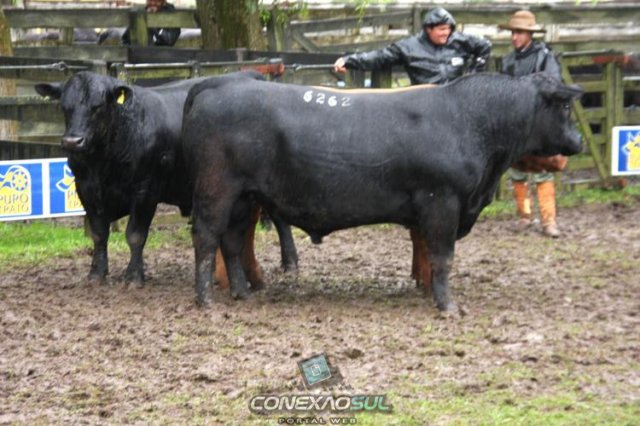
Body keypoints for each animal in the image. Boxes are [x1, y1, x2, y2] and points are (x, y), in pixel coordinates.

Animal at [35, 71, 298, 288]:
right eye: (65, 107)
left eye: (97, 106)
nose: (72, 141)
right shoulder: (87, 191)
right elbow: (99, 234)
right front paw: (96, 274)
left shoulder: (145, 190)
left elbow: (135, 235)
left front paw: (133, 277)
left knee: (280, 220)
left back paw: (290, 262)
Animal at [181, 72, 583, 311]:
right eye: (565, 105)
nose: (578, 141)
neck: (469, 121)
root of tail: (218, 83)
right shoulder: (443, 203)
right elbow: (443, 256)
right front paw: (447, 306)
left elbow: (426, 255)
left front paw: (428, 292)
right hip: (217, 190)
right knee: (207, 238)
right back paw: (206, 301)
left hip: (244, 198)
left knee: (233, 241)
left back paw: (241, 292)